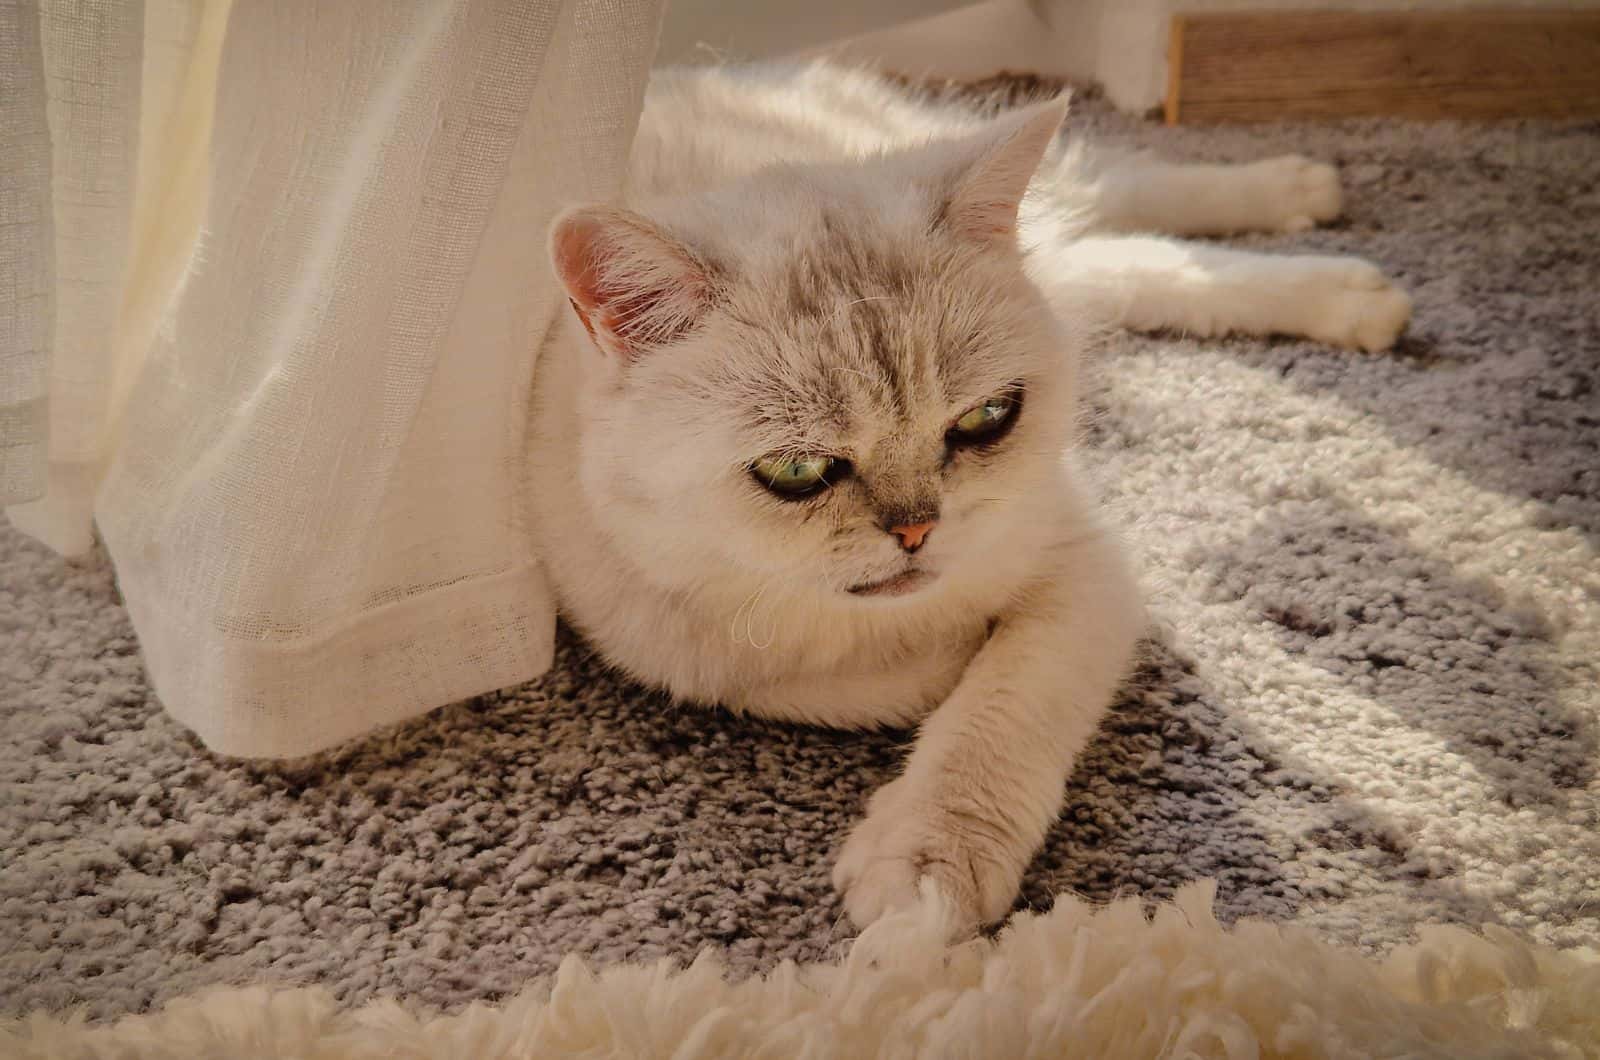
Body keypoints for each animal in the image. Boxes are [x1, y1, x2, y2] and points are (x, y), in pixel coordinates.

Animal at [528, 60, 1414, 941]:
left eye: (987, 418)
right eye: (797, 470)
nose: (918, 529)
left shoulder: (1083, 564)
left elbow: (1003, 707)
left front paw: (930, 863)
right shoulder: (676, 650)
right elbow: (848, 683)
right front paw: (937, 667)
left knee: (1114, 196)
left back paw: (1310, 213)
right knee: (1114, 254)